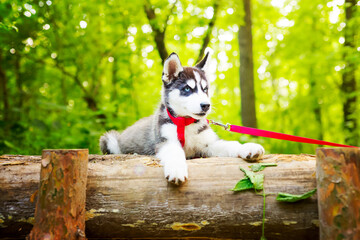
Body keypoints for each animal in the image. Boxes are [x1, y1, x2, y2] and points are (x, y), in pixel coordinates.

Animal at [100, 52, 266, 184]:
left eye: (205, 89)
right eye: (187, 89)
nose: (206, 105)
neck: (186, 123)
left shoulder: (208, 144)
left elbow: (230, 144)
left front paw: (248, 147)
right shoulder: (166, 142)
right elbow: (175, 153)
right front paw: (176, 170)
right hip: (110, 139)